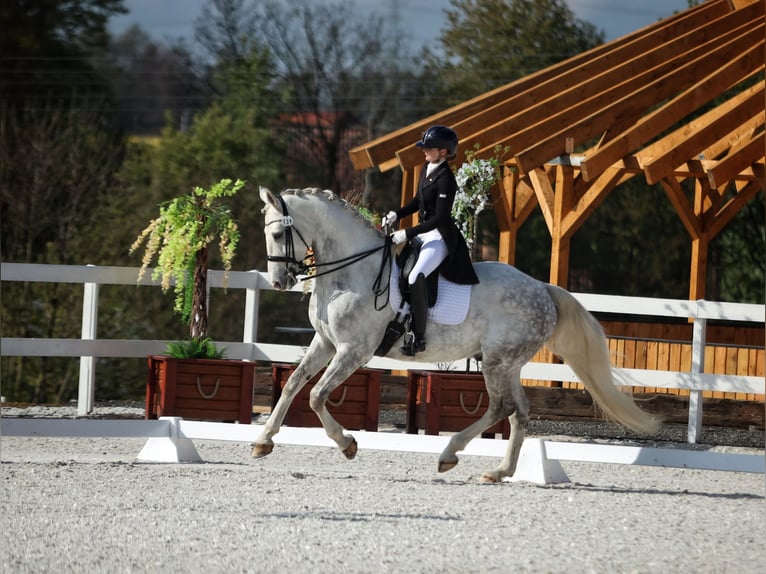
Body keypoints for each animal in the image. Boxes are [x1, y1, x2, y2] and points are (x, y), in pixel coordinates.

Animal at [254, 187, 660, 484]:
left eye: (277, 233)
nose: (279, 282)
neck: (351, 272)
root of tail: (543, 289)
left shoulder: (354, 350)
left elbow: (317, 395)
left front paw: (347, 444)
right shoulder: (325, 343)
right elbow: (293, 384)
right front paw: (262, 441)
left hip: (495, 361)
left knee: (501, 407)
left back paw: (450, 454)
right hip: (507, 363)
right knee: (520, 411)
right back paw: (499, 472)